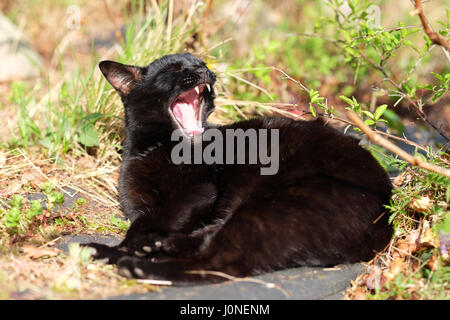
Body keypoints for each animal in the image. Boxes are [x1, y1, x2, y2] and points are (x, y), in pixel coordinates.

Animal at [85, 52, 394, 284]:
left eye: (200, 63)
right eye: (174, 69)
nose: (203, 69)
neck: (156, 147)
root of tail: (387, 220)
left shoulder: (200, 190)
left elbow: (156, 218)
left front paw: (132, 246)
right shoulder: (139, 204)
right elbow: (144, 218)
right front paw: (138, 244)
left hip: (270, 207)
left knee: (221, 263)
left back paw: (135, 264)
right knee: (211, 241)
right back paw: (147, 248)